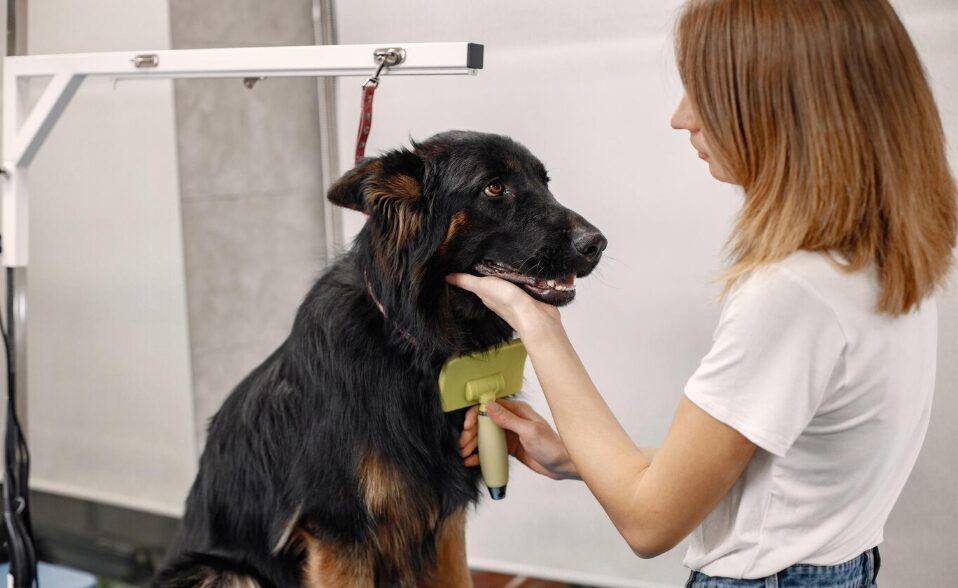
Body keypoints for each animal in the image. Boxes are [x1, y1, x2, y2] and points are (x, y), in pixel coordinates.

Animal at [157, 131, 608, 584]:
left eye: (544, 183)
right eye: (494, 188)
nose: (597, 244)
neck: (413, 344)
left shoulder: (445, 519)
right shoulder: (340, 533)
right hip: (222, 572)